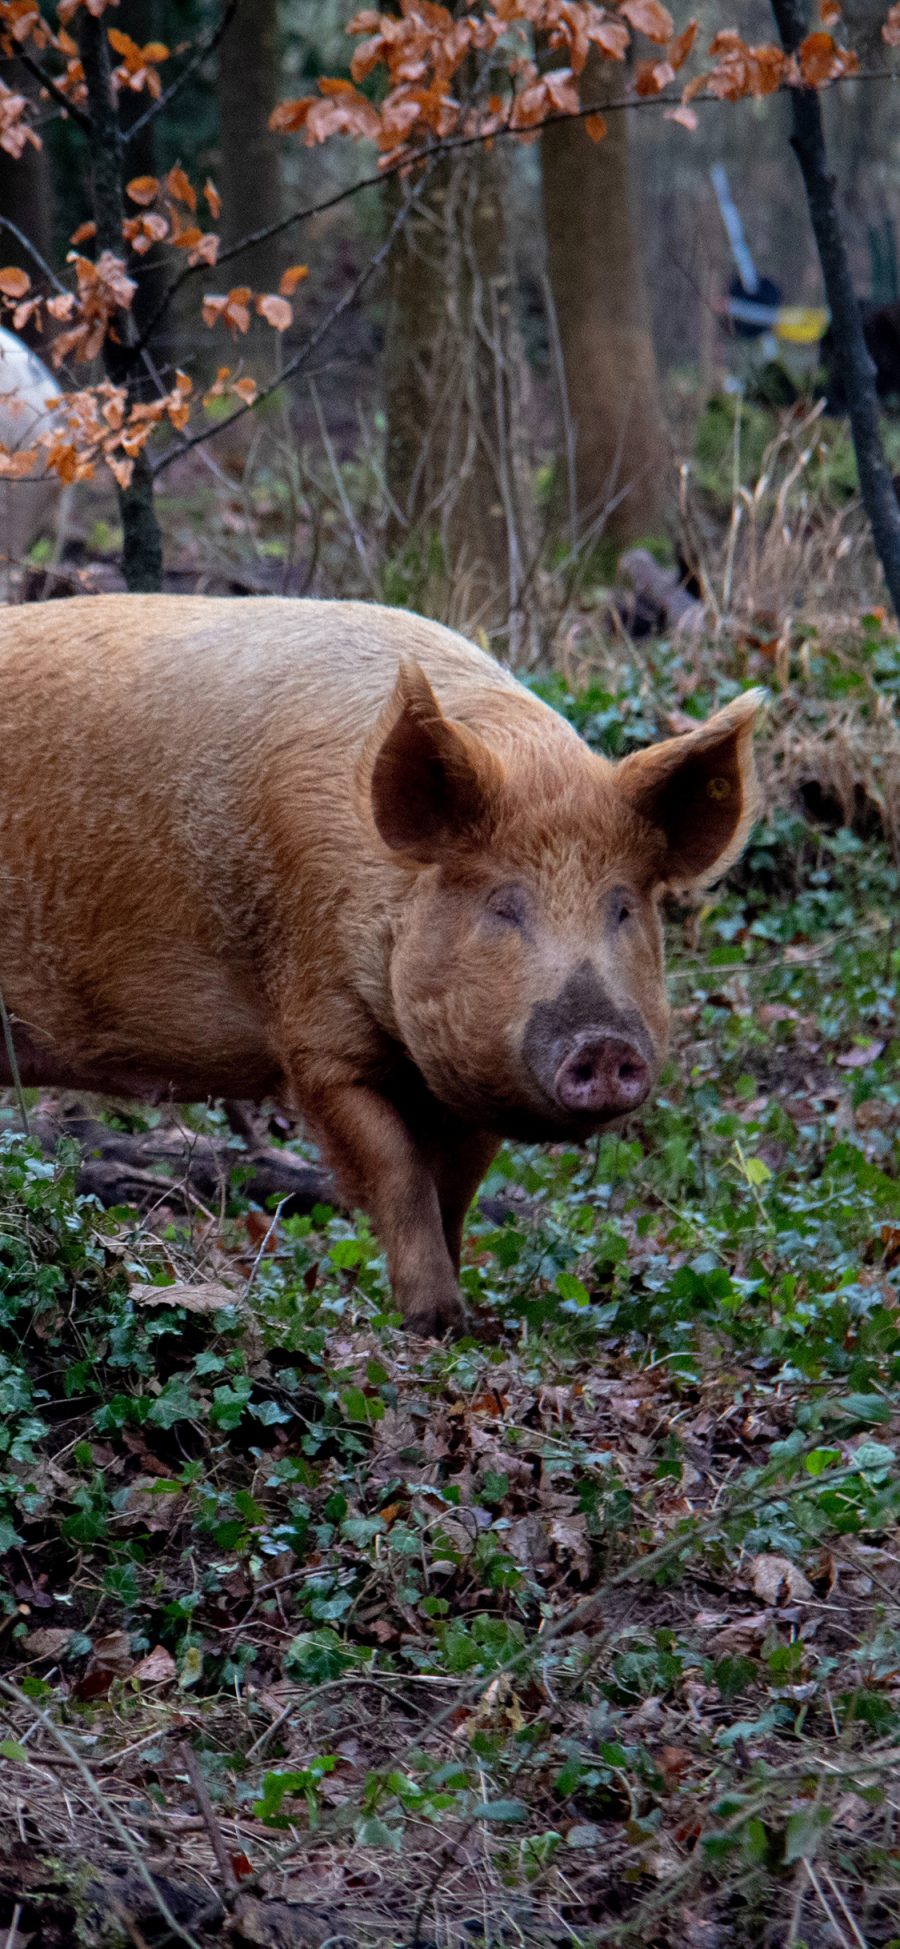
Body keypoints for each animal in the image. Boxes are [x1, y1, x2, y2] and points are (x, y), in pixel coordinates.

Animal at [0, 592, 763, 1333]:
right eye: (503, 905)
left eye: (623, 907)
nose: (602, 1042)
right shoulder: (318, 1039)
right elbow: (398, 1174)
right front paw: (432, 1321)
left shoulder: (471, 1068)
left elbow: (456, 1188)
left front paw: (467, 1322)